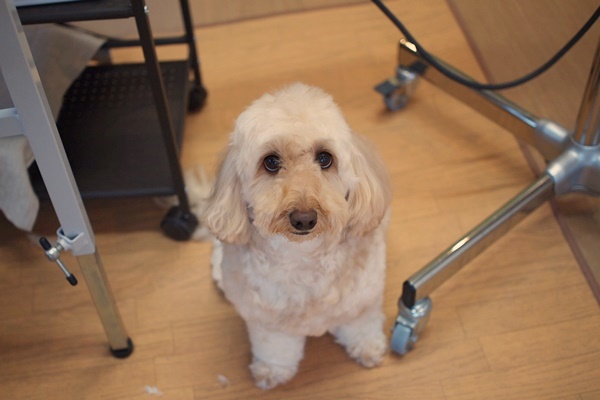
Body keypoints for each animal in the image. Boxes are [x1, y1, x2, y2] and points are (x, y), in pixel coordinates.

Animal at [202, 83, 392, 389]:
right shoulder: (266, 321)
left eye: (325, 158)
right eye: (271, 162)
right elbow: (275, 348)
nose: (304, 218)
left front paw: (368, 347)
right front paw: (272, 371)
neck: (302, 257)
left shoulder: (362, 299)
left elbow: (360, 326)